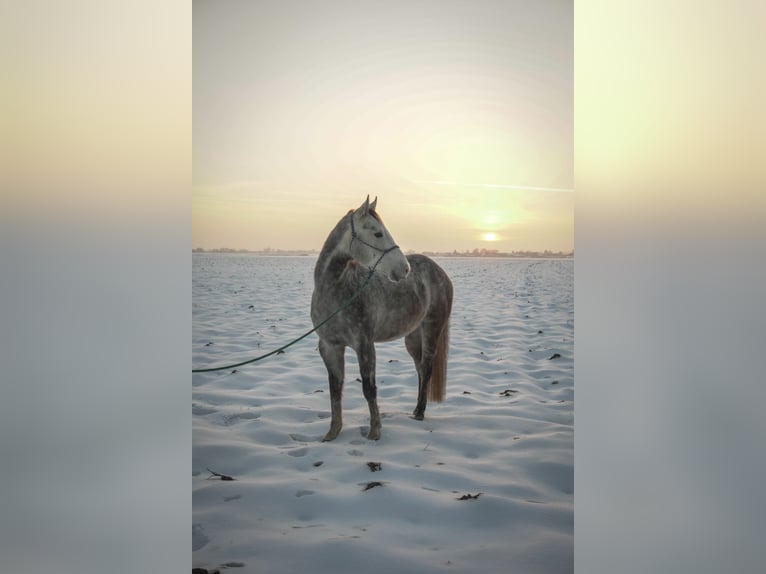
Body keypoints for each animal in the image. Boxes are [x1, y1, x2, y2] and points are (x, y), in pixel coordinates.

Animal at [311, 196, 453, 441]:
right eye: (377, 233)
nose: (404, 269)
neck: (335, 290)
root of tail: (439, 272)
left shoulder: (365, 345)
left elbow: (369, 389)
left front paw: (375, 432)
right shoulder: (330, 346)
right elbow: (335, 388)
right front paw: (332, 433)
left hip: (432, 329)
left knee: (426, 369)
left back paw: (420, 413)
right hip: (412, 338)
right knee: (419, 369)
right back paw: (415, 410)